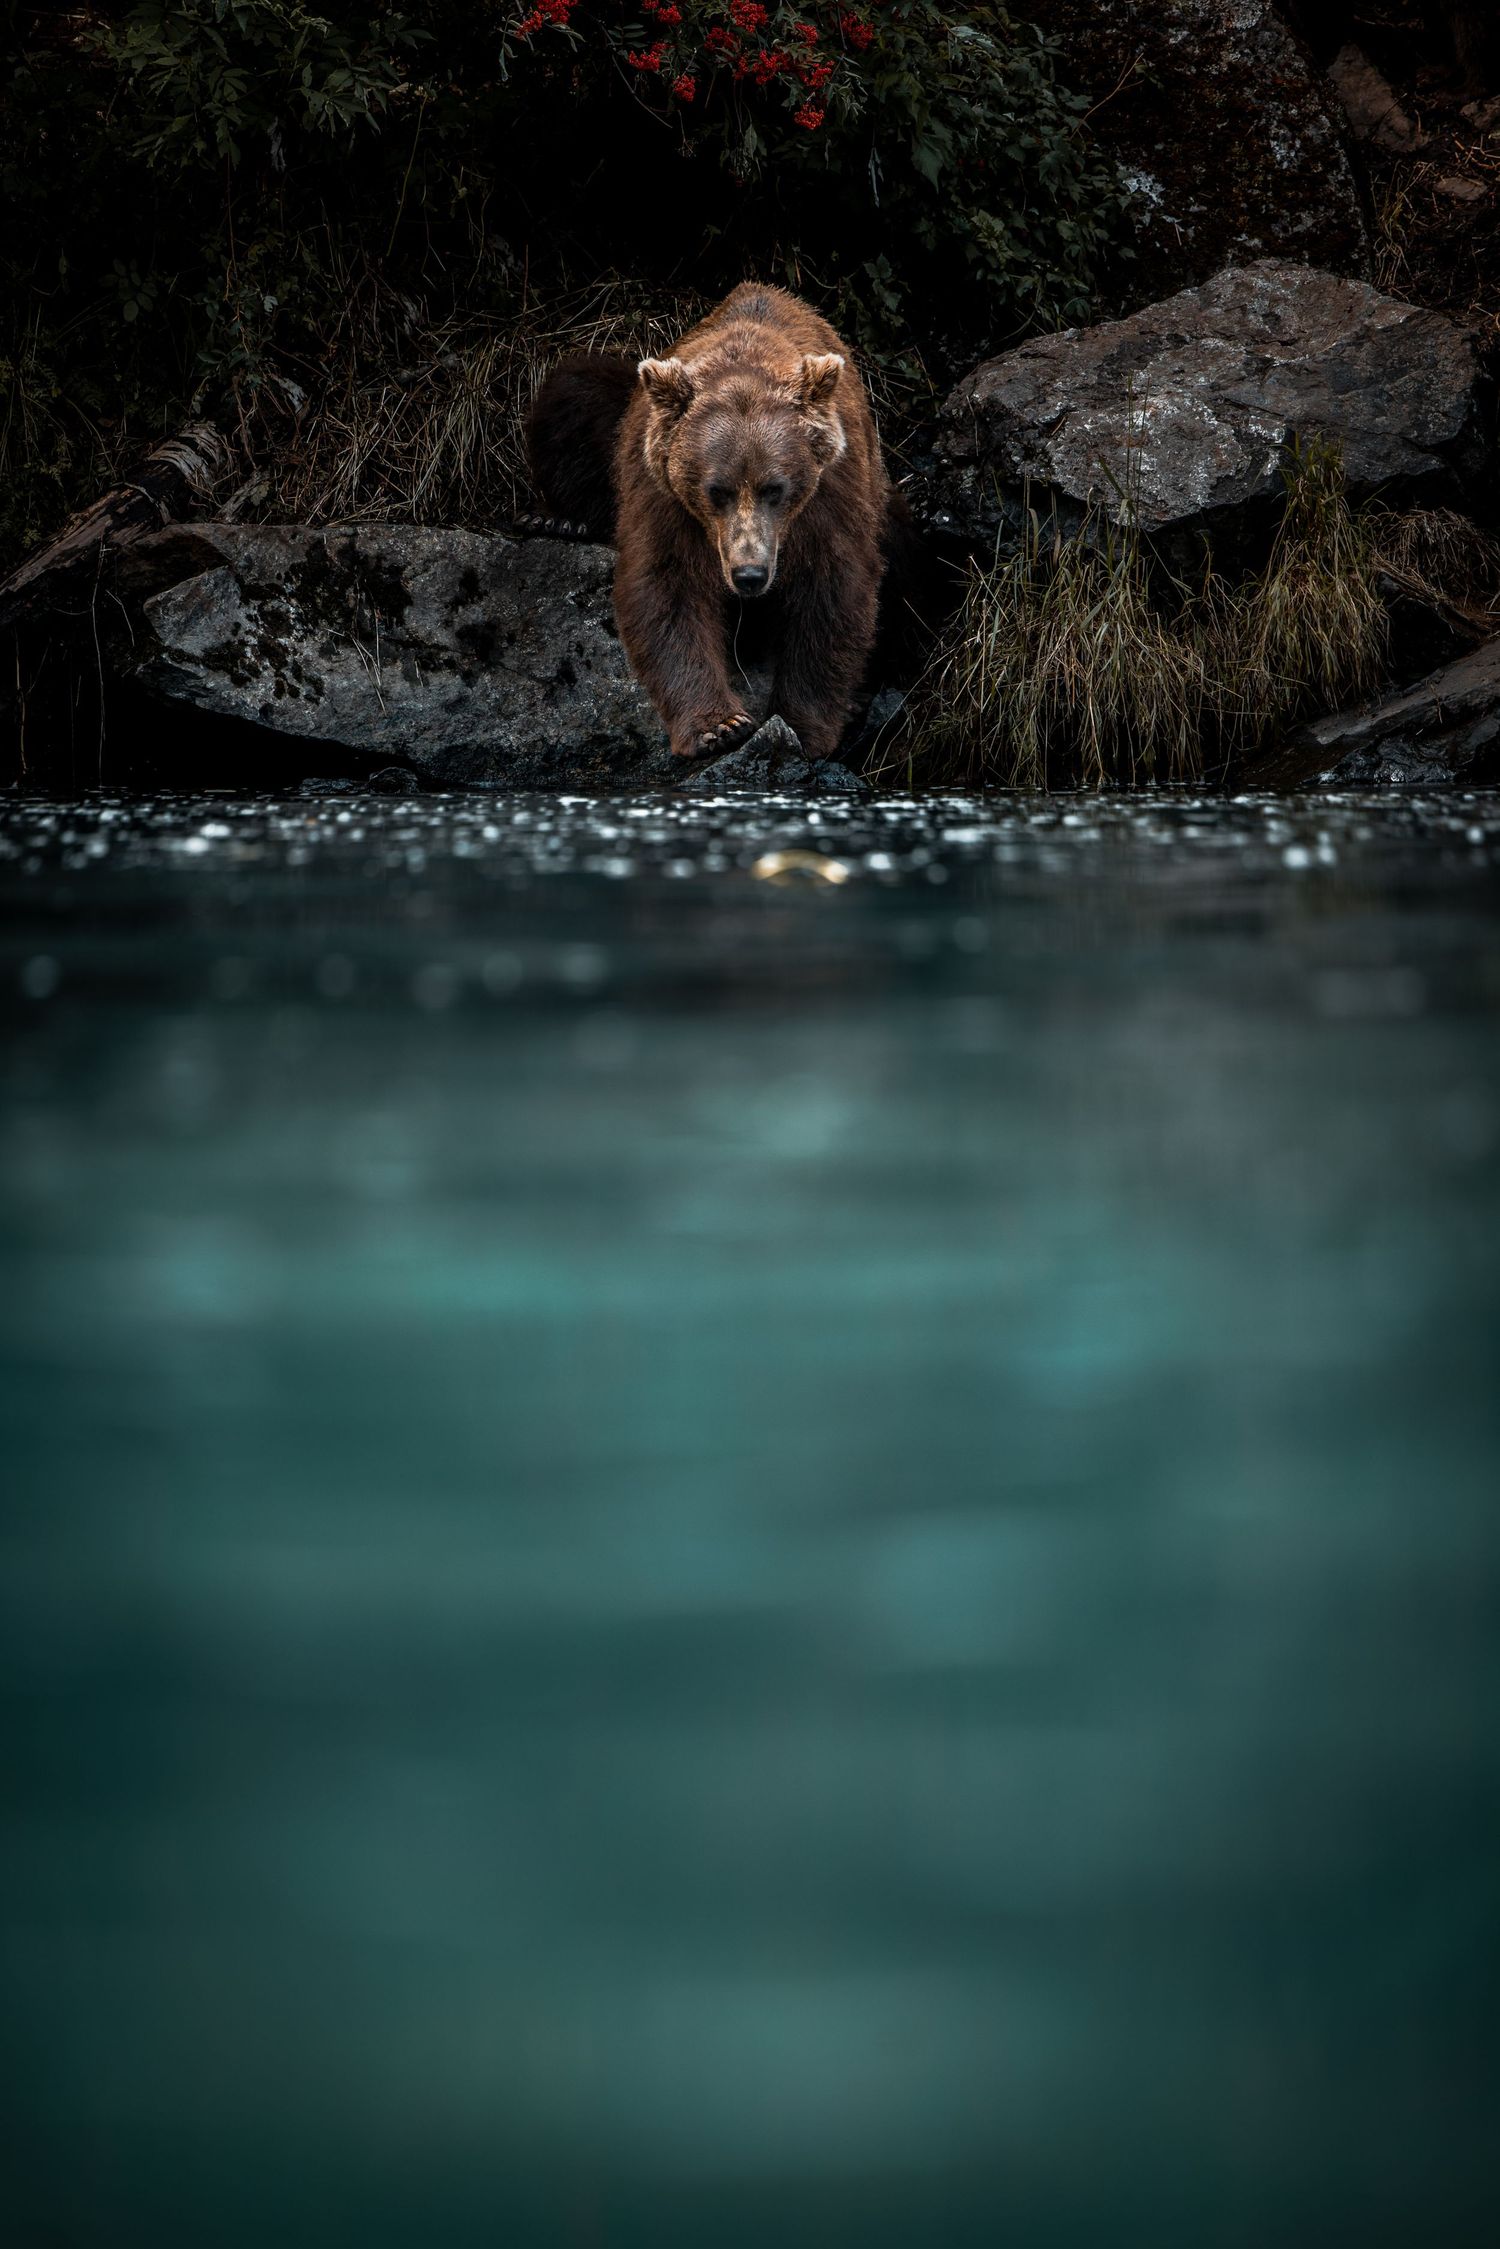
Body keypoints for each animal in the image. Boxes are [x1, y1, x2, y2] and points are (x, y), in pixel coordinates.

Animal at [527, 284, 897, 761]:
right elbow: (669, 589)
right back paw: (554, 520)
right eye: (716, 490)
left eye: (774, 488)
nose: (749, 575)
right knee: (573, 391)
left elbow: (830, 592)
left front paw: (801, 726)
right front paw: (720, 726)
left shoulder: (831, 493)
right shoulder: (664, 496)